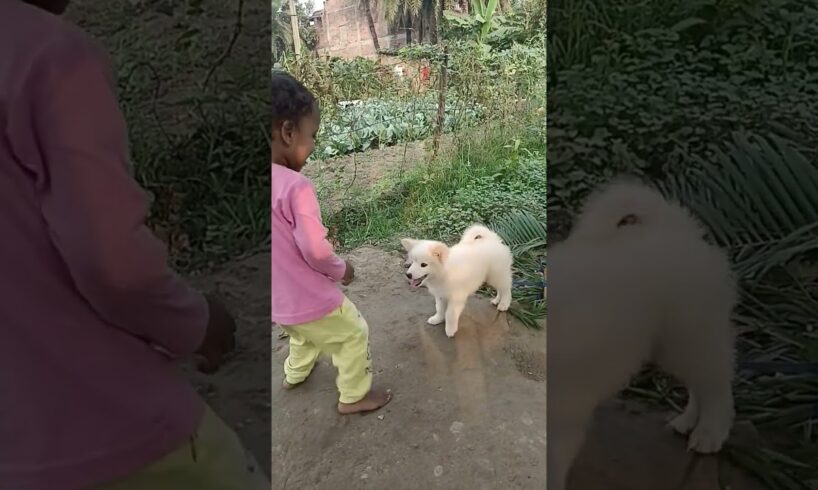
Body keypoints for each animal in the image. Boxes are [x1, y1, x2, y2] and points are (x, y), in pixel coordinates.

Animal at [544, 180, 736, 490]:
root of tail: (676, 227)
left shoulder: (563, 417)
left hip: (689, 332)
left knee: (717, 385)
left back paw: (710, 432)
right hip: (672, 343)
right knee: (700, 383)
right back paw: (687, 421)